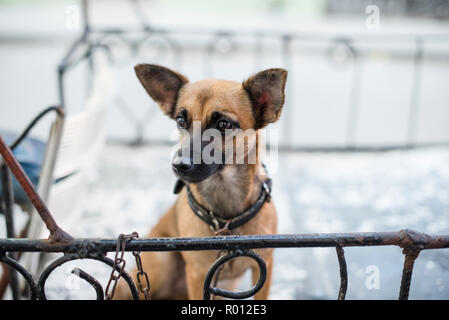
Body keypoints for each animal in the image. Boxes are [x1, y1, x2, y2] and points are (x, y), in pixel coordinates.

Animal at [115, 63, 288, 298]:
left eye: (223, 124)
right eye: (180, 120)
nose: (178, 165)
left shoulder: (264, 266)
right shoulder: (198, 276)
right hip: (162, 263)